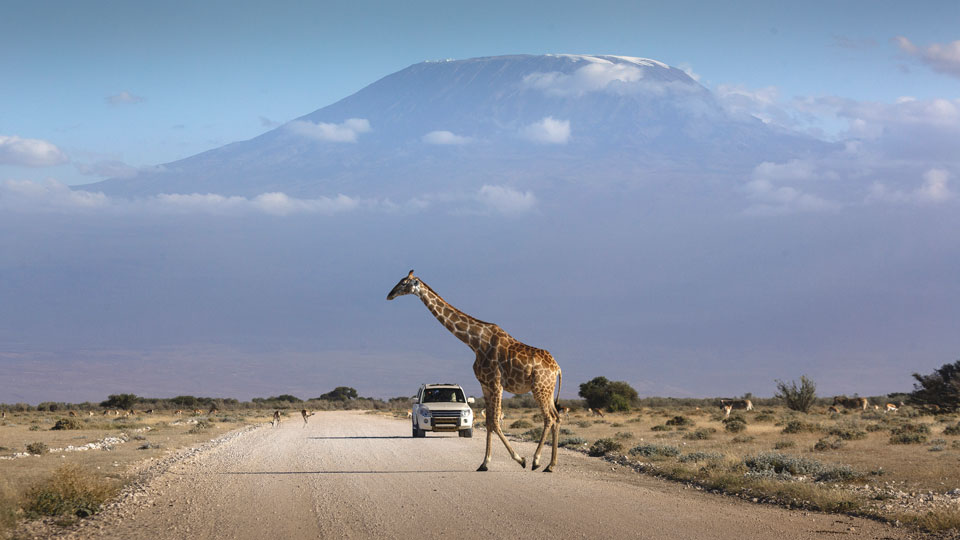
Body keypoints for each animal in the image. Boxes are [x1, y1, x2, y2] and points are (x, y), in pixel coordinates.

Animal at [388, 270, 568, 472]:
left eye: (404, 283)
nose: (389, 295)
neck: (475, 343)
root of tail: (557, 368)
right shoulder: (485, 384)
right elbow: (489, 422)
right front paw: (484, 463)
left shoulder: (496, 383)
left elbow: (495, 422)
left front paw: (520, 459)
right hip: (547, 390)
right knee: (556, 417)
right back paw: (550, 465)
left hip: (540, 388)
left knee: (549, 418)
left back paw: (537, 461)